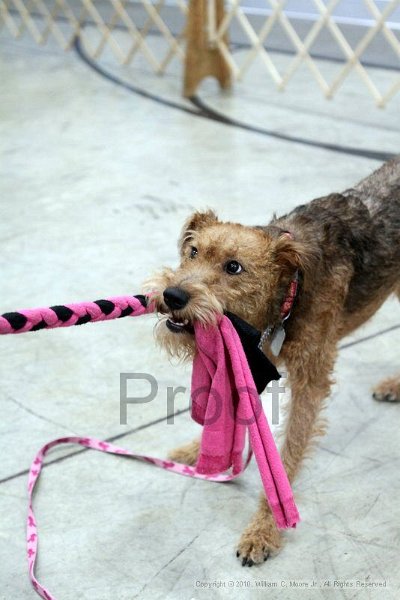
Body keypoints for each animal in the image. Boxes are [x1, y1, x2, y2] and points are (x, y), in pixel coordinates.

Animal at [147, 156, 400, 568]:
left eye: (234, 267)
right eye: (193, 251)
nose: (172, 295)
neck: (288, 291)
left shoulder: (311, 381)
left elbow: (286, 454)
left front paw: (264, 529)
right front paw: (198, 451)